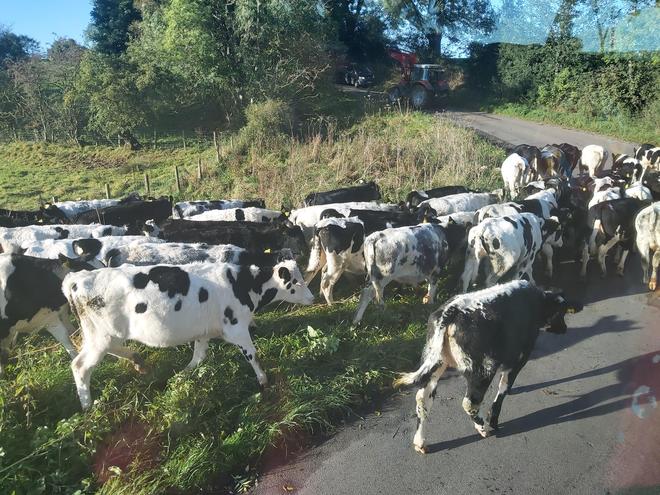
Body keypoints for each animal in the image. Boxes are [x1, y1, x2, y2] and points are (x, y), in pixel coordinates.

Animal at [62, 259, 314, 409]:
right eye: (297, 282)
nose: (312, 297)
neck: (244, 285)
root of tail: (76, 278)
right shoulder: (237, 327)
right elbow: (252, 355)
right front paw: (263, 381)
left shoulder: (203, 332)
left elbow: (198, 358)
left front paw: (180, 377)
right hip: (100, 336)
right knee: (80, 366)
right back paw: (88, 406)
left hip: (104, 335)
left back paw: (137, 360)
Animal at [393, 280, 583, 453]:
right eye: (562, 311)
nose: (564, 329)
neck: (537, 301)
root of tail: (450, 311)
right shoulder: (520, 357)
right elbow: (504, 387)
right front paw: (494, 421)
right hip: (483, 370)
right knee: (469, 402)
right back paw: (483, 428)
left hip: (436, 363)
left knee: (423, 399)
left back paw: (420, 443)